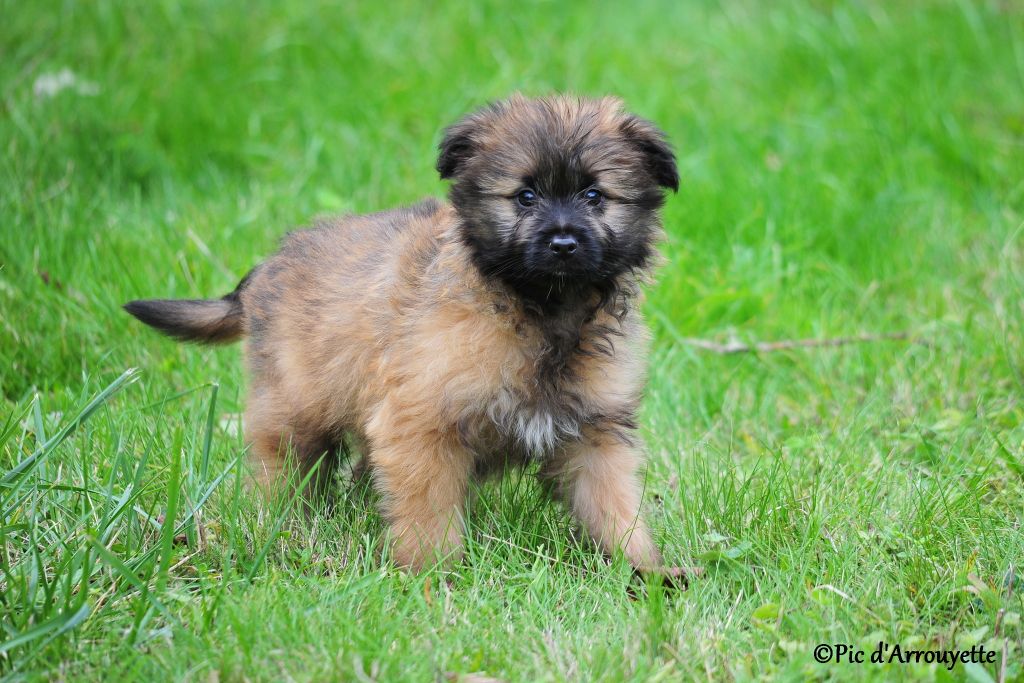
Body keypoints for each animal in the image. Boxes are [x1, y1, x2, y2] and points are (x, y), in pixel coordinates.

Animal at [125, 94, 679, 577]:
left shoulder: (595, 434)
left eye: (594, 195)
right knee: (280, 469)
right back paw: (279, 524)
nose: (563, 243)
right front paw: (431, 576)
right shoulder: (420, 427)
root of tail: (267, 267)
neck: (540, 312)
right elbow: (427, 512)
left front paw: (644, 569)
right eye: (525, 196)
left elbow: (615, 505)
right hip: (294, 410)